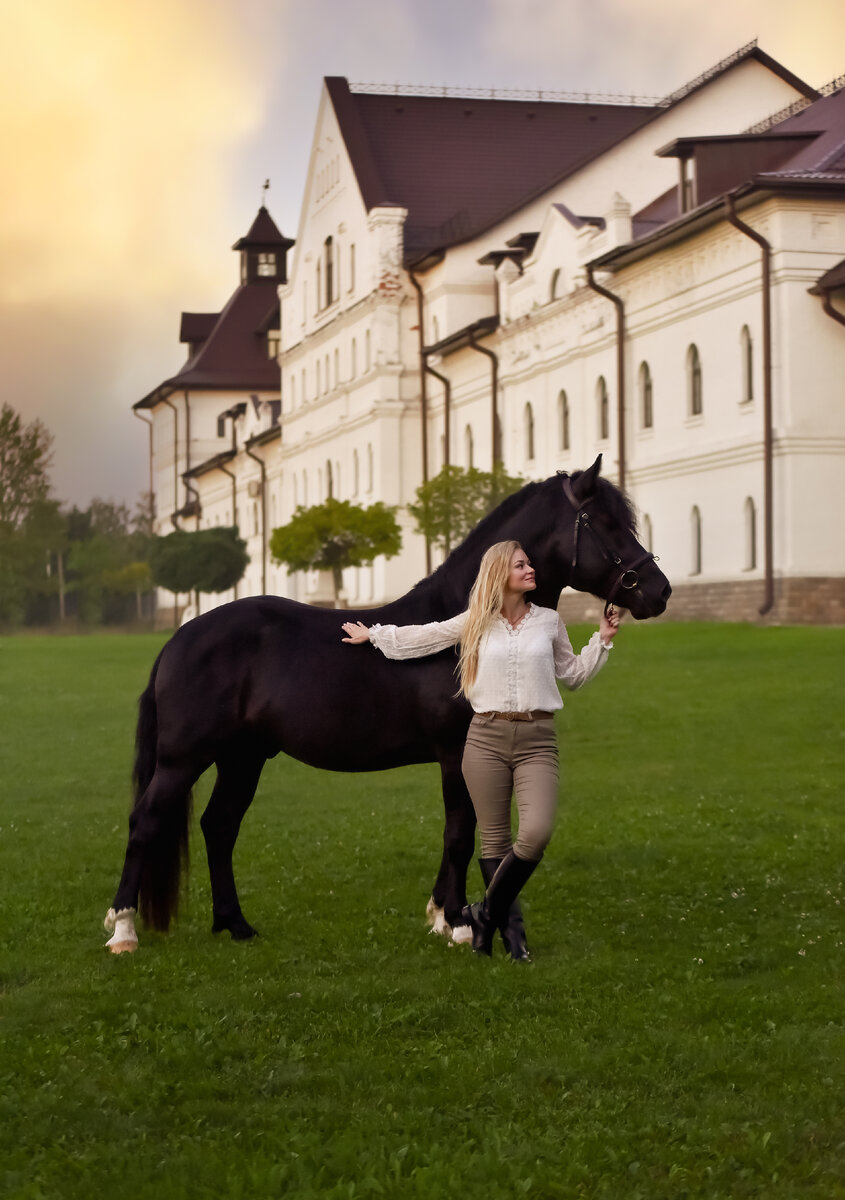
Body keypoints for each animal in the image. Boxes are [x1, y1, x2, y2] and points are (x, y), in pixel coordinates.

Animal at [105, 453, 672, 950]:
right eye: (604, 522)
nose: (659, 590)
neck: (465, 623)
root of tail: (179, 639)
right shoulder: (455, 754)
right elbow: (459, 833)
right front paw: (457, 924)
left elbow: (460, 832)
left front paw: (442, 916)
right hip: (183, 759)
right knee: (146, 822)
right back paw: (124, 931)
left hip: (242, 757)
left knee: (219, 826)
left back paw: (236, 925)